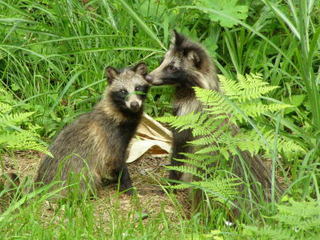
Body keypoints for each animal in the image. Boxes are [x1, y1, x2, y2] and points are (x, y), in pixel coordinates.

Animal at [35, 62, 151, 196]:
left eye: (137, 88)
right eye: (123, 91)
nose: (134, 104)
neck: (121, 112)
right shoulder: (110, 138)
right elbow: (116, 162)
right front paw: (127, 186)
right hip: (78, 175)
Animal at [148, 30, 276, 199]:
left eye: (172, 68)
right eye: (163, 61)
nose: (148, 77)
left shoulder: (187, 122)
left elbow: (179, 154)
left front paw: (170, 184)